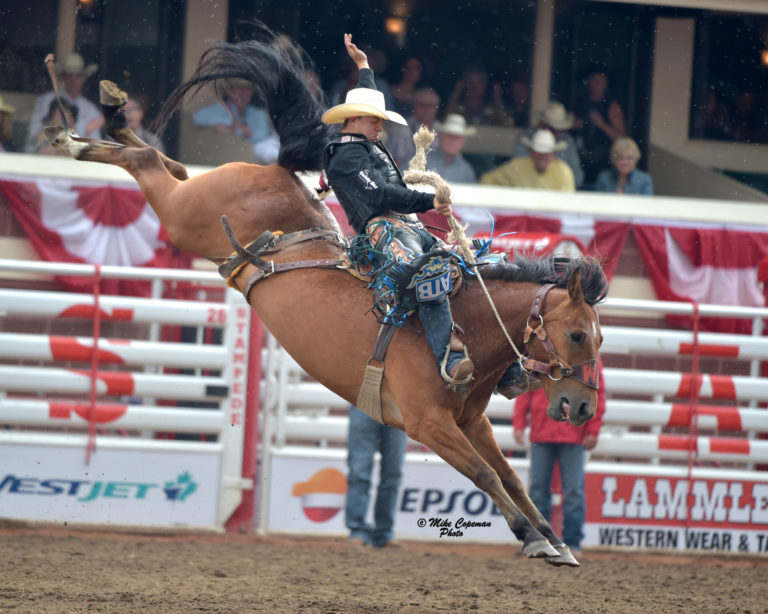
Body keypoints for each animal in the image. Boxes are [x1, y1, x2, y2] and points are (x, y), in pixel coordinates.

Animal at [45, 26, 608, 572]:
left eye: (600, 337)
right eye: (578, 334)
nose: (582, 407)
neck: (463, 327)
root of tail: (274, 171)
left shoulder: (472, 420)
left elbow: (510, 476)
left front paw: (556, 541)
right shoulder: (429, 424)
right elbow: (485, 477)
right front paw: (530, 538)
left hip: (191, 201)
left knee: (168, 164)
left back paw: (109, 123)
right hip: (185, 216)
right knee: (147, 163)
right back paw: (76, 135)